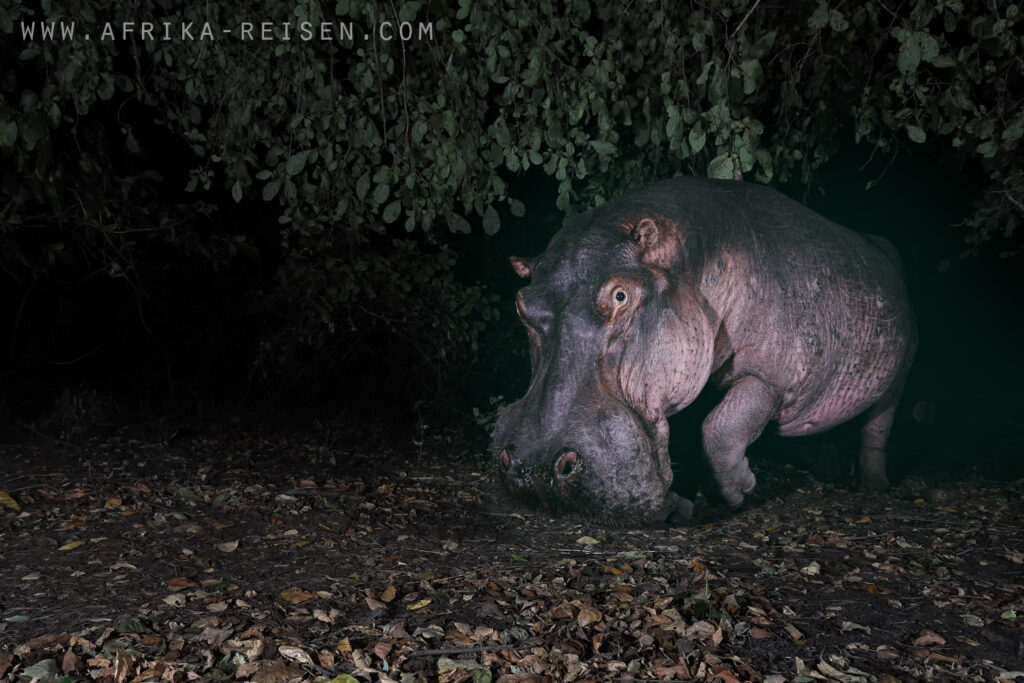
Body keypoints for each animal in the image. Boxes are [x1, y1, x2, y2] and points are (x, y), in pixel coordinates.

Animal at [492, 177, 917, 525]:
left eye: (620, 295)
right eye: (521, 304)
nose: (535, 468)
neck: (693, 261)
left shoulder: (770, 376)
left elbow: (721, 427)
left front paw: (737, 494)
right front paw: (683, 508)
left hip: (898, 376)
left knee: (878, 423)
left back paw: (873, 486)